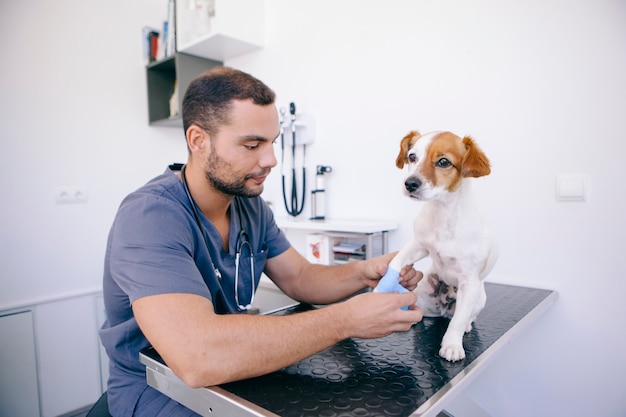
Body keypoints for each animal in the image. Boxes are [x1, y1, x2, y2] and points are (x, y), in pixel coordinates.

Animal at [376, 130, 498, 360]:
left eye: (443, 162)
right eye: (412, 157)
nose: (410, 183)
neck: (443, 214)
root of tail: (444, 308)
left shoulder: (469, 281)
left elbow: (457, 322)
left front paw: (451, 345)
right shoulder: (418, 245)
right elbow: (396, 262)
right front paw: (383, 287)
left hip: (478, 298)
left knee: (463, 317)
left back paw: (465, 325)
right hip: (424, 292)